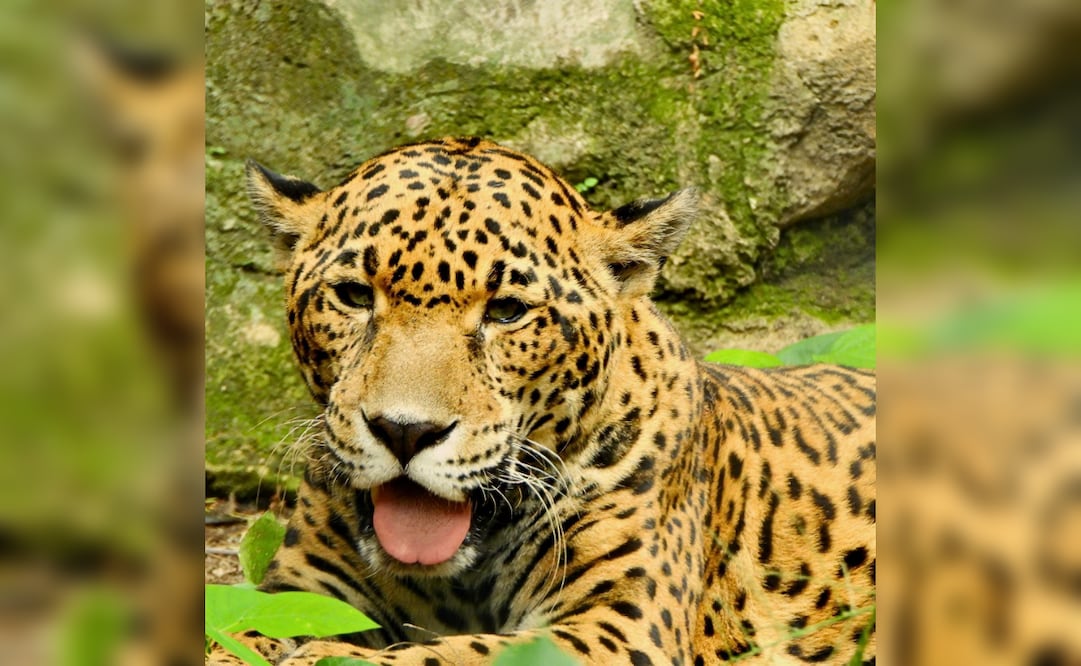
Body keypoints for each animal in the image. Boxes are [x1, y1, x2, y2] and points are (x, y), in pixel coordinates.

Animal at [213, 137, 876, 665]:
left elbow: (456, 655)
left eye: (507, 310)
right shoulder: (302, 590)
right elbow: (240, 630)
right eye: (353, 295)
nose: (404, 431)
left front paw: (321, 657)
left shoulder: (620, 624)